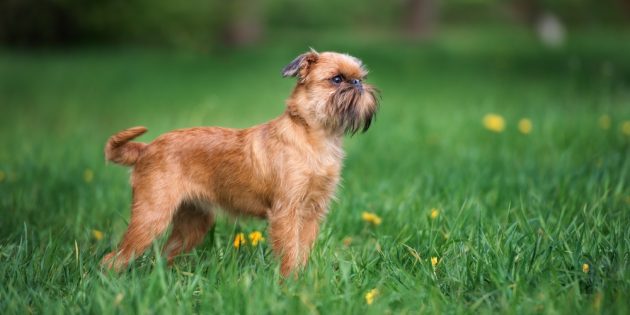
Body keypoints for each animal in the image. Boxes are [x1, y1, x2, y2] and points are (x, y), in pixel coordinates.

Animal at [102, 49, 380, 276]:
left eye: (360, 77)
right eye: (337, 79)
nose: (358, 83)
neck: (312, 135)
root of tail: (146, 148)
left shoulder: (312, 212)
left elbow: (302, 250)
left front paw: (301, 282)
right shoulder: (287, 212)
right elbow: (289, 251)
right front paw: (288, 286)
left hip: (193, 222)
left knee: (165, 254)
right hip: (152, 215)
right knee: (113, 258)